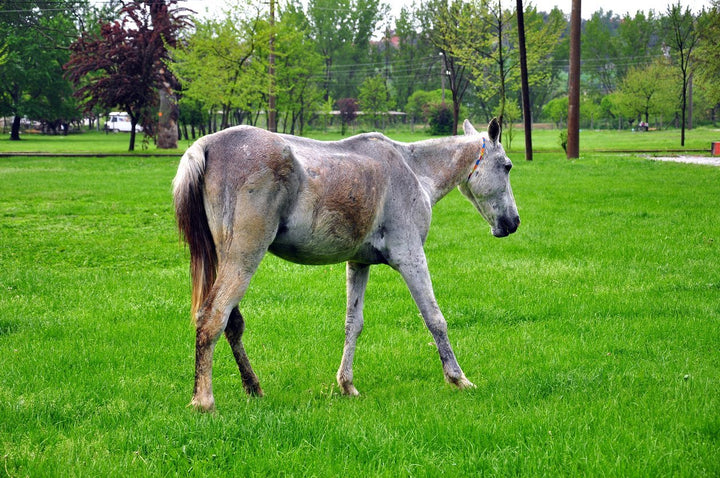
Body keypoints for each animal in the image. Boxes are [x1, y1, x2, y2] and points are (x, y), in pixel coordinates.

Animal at [173, 118, 519, 411]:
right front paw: (457, 378)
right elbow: (435, 319)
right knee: (213, 317)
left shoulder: (358, 263)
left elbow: (354, 324)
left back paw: (252, 387)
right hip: (244, 259)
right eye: (507, 166)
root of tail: (206, 145)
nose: (513, 222)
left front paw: (347, 384)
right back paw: (204, 401)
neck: (413, 169)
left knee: (232, 323)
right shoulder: (411, 257)